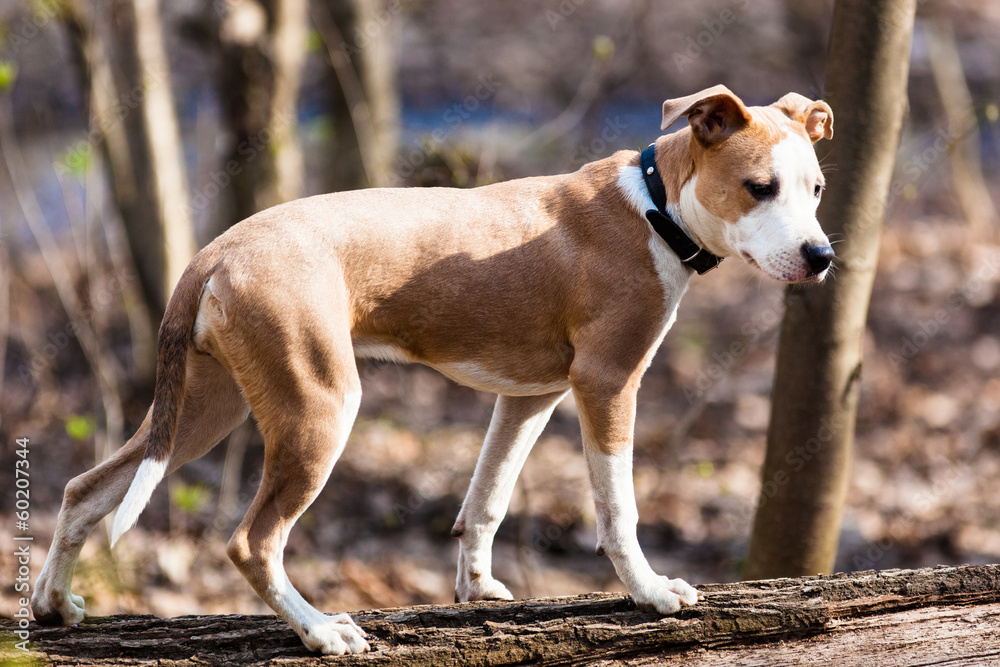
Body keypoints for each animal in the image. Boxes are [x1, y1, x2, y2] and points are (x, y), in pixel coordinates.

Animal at [35, 86, 836, 656]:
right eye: (759, 186)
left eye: (819, 188)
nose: (823, 256)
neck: (654, 207)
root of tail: (215, 252)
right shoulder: (608, 384)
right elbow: (618, 506)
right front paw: (649, 591)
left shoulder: (532, 397)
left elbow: (487, 497)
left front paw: (475, 586)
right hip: (319, 406)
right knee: (251, 541)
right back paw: (320, 631)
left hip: (207, 408)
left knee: (87, 487)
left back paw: (51, 605)